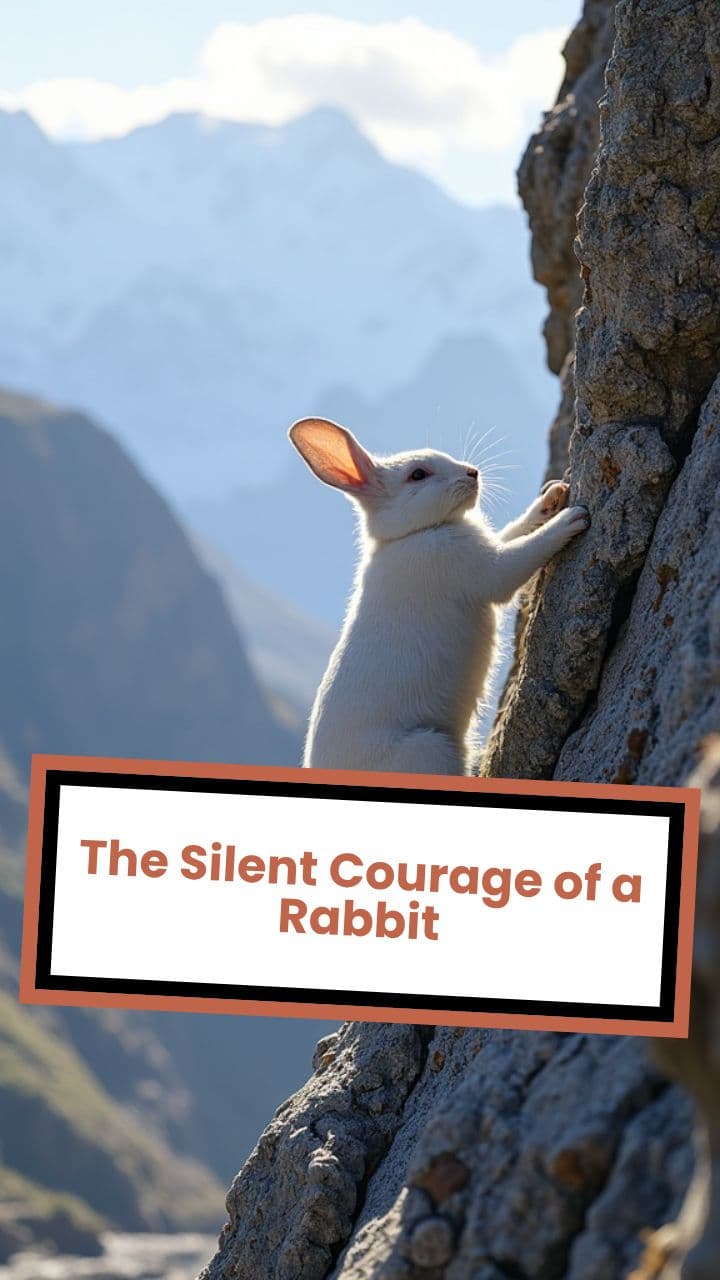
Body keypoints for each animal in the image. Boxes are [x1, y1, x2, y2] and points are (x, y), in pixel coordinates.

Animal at [289, 417, 590, 776]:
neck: (414, 534)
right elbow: (526, 551)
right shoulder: (487, 571)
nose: (472, 472)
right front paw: (571, 518)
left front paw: (553, 496)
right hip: (431, 749)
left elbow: (514, 531)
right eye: (418, 474)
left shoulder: (487, 550)